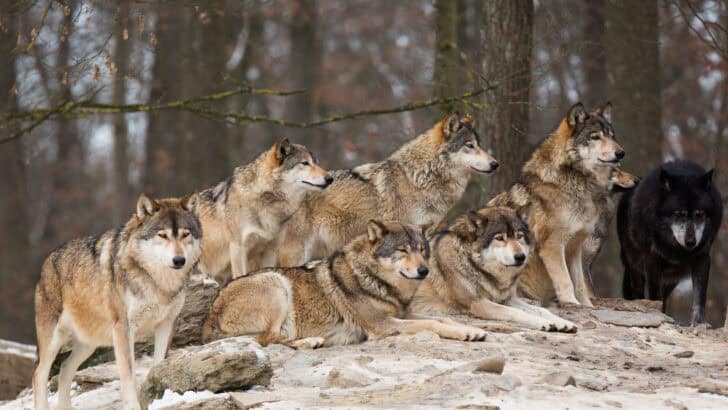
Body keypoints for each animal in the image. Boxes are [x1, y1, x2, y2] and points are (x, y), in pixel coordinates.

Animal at [33, 193, 202, 410]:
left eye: (185, 234)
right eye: (163, 235)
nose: (179, 260)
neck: (158, 283)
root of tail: (47, 260)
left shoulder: (167, 324)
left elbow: (158, 363)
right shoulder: (124, 329)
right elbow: (128, 374)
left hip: (89, 344)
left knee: (64, 368)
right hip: (54, 341)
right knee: (39, 375)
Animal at [202, 220, 487, 348]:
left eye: (421, 250)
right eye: (402, 250)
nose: (424, 270)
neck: (374, 280)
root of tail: (209, 319)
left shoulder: (404, 313)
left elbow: (443, 319)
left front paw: (469, 330)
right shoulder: (382, 325)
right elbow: (432, 323)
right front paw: (464, 333)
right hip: (276, 284)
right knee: (268, 338)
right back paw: (310, 342)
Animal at [411, 207, 577, 332]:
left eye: (519, 236)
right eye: (500, 238)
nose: (520, 257)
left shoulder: (508, 299)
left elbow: (543, 310)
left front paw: (563, 322)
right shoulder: (478, 304)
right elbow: (516, 312)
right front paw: (544, 323)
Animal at [488, 102, 624, 307]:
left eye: (611, 136)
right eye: (595, 137)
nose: (621, 153)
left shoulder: (576, 247)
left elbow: (580, 284)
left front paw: (586, 305)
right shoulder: (552, 245)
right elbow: (565, 280)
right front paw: (571, 303)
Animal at [618, 160, 723, 324]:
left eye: (699, 214)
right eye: (679, 214)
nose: (691, 242)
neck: (675, 248)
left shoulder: (703, 258)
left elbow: (700, 296)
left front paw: (699, 323)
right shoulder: (652, 262)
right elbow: (654, 296)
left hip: (672, 279)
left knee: (665, 299)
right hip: (635, 269)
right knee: (639, 293)